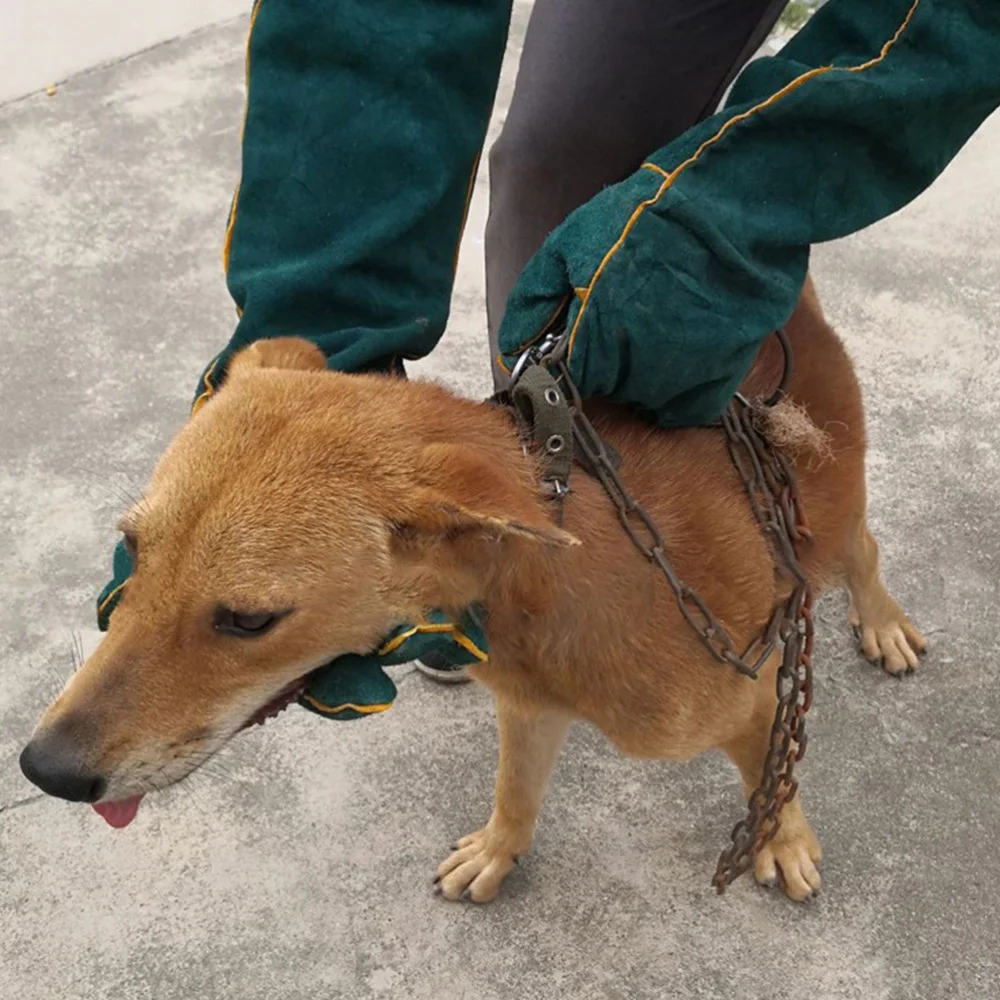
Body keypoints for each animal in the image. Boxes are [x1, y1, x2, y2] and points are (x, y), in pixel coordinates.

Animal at [19, 277, 925, 902]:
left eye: (248, 620)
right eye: (131, 547)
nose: (43, 770)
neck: (547, 582)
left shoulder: (752, 701)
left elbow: (772, 778)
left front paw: (779, 839)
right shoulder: (527, 710)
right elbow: (515, 793)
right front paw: (498, 851)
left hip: (830, 528)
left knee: (864, 552)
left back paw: (883, 624)